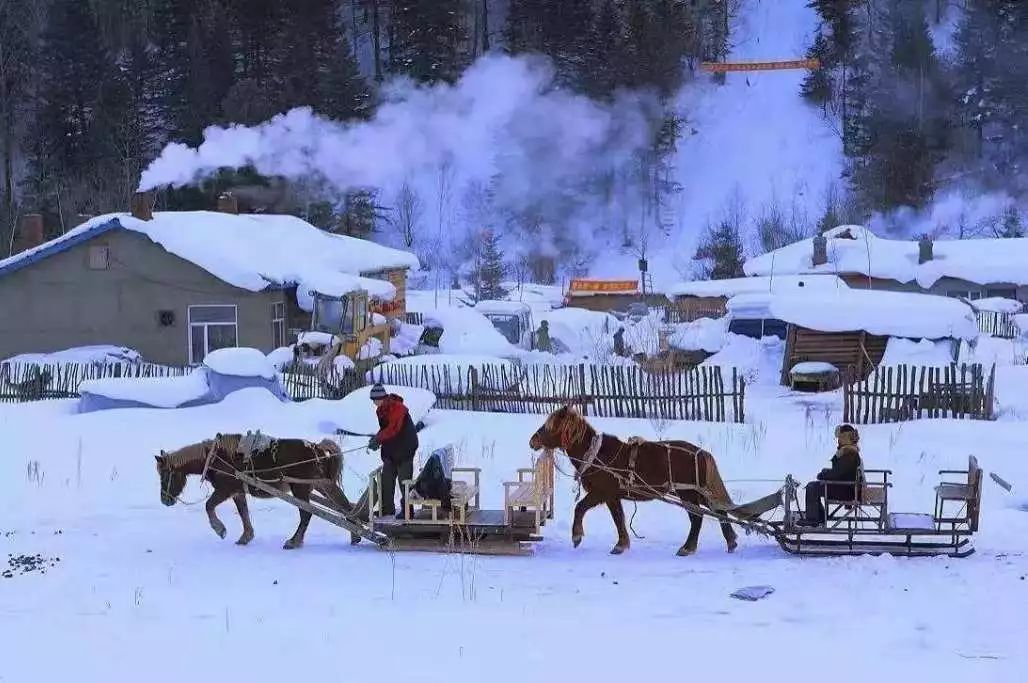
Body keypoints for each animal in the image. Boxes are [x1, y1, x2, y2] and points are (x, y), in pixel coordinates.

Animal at [155, 434, 353, 551]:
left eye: (164, 474)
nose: (165, 500)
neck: (214, 458)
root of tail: (316, 448)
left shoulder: (225, 489)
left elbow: (209, 506)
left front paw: (220, 529)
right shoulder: (237, 492)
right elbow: (243, 512)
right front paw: (246, 537)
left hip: (301, 488)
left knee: (306, 514)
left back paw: (294, 541)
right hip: (320, 484)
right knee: (344, 505)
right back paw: (355, 534)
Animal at [530, 405, 740, 555]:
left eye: (551, 426)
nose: (533, 441)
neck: (597, 455)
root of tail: (700, 452)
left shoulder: (602, 493)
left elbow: (581, 508)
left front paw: (577, 536)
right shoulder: (613, 496)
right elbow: (619, 519)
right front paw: (622, 544)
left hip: (687, 493)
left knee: (698, 517)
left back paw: (687, 547)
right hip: (697, 492)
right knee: (719, 511)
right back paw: (730, 541)